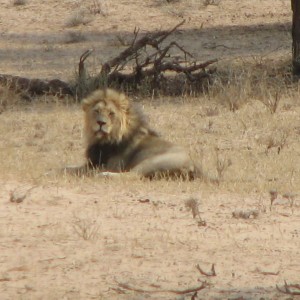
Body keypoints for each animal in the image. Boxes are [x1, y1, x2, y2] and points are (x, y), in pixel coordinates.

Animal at [66, 88, 205, 179]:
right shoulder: (92, 162)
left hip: (151, 162)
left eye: (111, 113)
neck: (102, 140)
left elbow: (77, 170)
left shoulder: (107, 165)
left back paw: (104, 175)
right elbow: (68, 167)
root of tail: (194, 166)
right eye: (96, 111)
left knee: (132, 175)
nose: (101, 123)